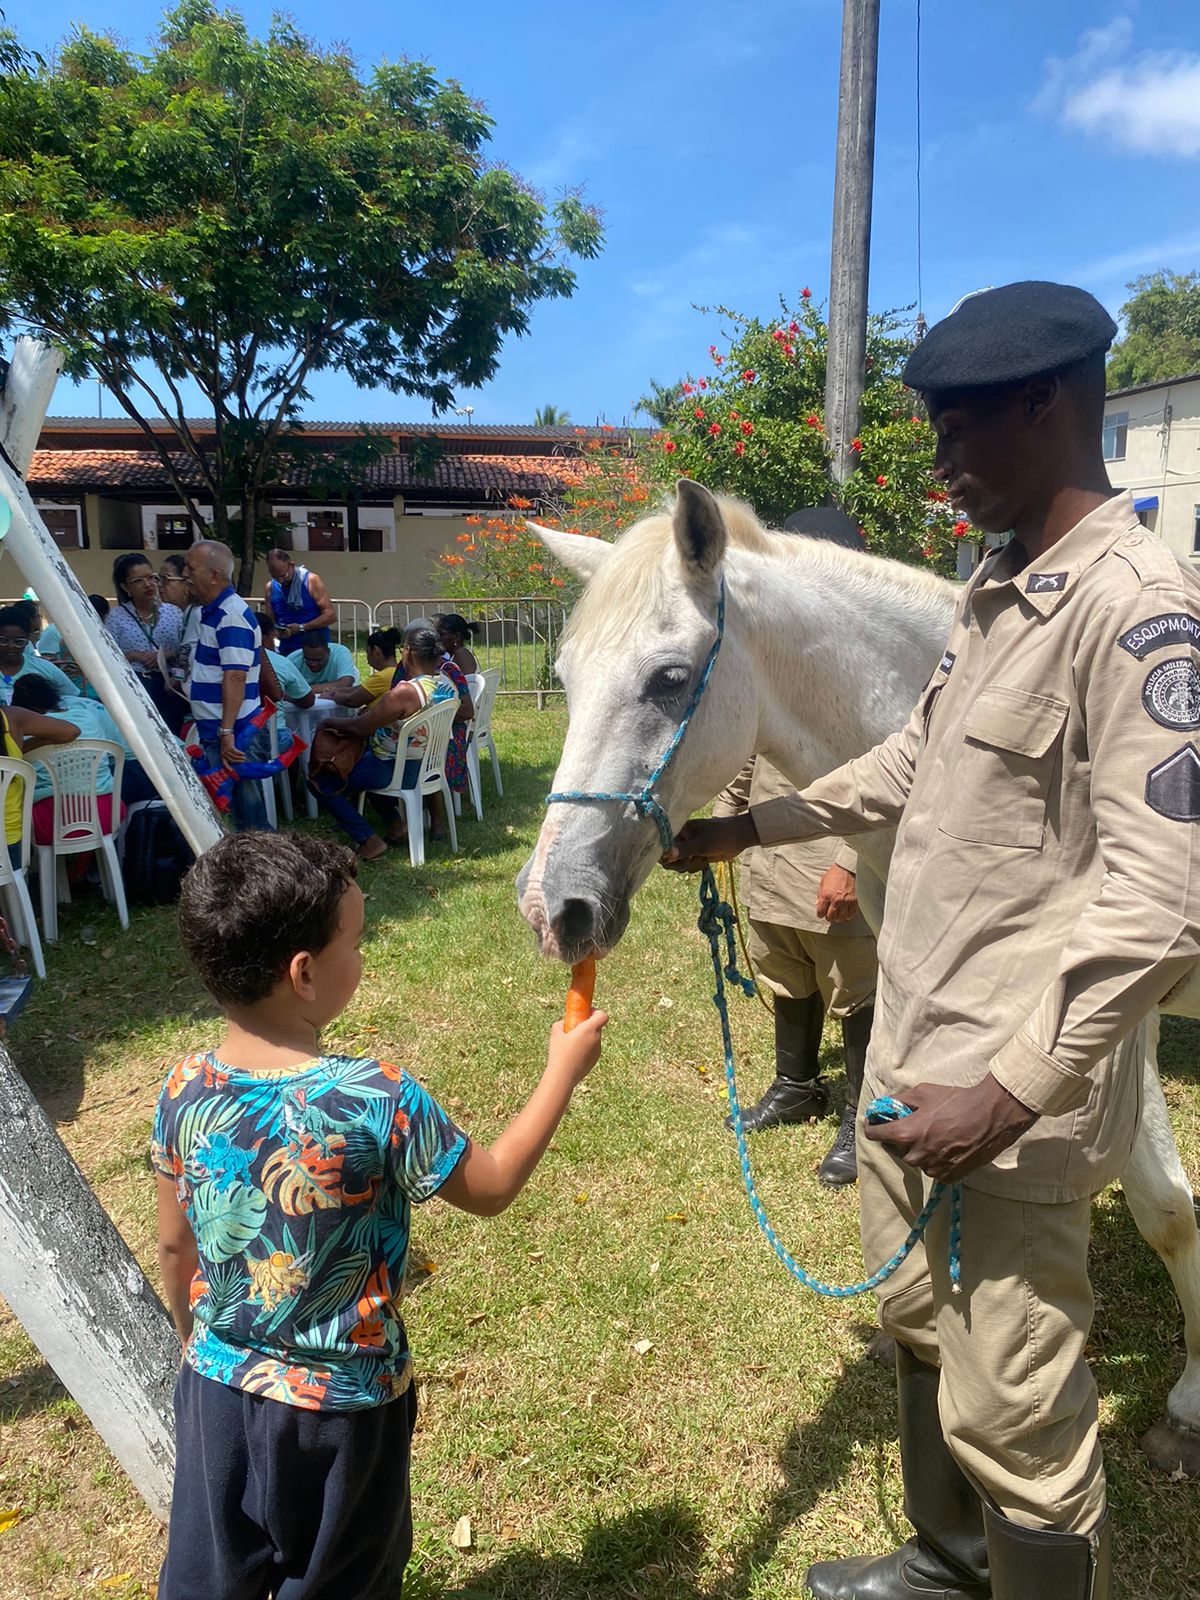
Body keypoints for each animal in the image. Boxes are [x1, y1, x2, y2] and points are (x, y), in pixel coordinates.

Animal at [515, 478, 1200, 1477]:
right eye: (564, 680)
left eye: (670, 679)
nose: (551, 908)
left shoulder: (1113, 1013)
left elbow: (1167, 1209)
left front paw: (1188, 1404)